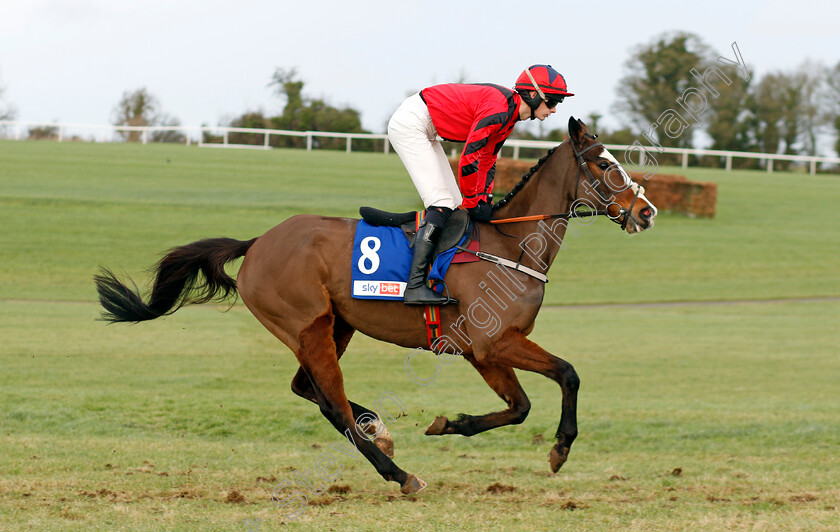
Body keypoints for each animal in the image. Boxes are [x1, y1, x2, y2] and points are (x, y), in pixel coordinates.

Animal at [92, 116, 656, 494]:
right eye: (605, 163)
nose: (647, 211)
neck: (509, 245)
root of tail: (258, 243)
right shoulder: (493, 343)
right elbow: (567, 375)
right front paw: (560, 448)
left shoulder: (484, 351)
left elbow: (520, 407)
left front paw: (449, 424)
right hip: (307, 327)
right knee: (331, 402)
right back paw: (398, 473)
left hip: (335, 326)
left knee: (310, 390)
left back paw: (378, 431)